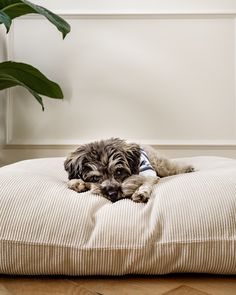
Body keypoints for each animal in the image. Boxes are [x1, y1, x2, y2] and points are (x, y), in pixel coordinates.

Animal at [64, 139, 194, 204]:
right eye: (95, 178)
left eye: (119, 172)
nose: (112, 194)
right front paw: (76, 183)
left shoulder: (149, 173)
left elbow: (146, 182)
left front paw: (141, 192)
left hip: (159, 163)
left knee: (171, 167)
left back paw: (188, 168)